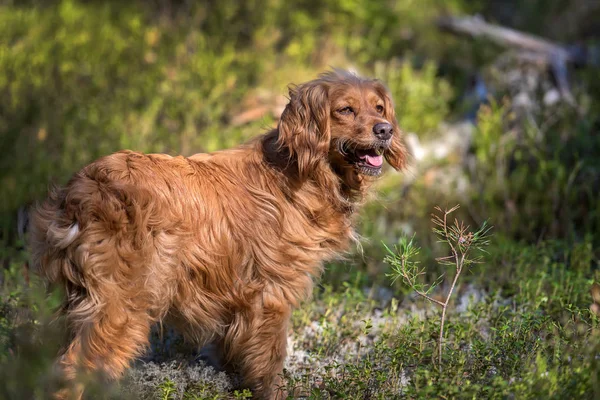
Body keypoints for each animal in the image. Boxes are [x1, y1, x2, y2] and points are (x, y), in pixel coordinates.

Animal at [30, 70, 410, 398]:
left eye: (378, 108)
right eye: (345, 110)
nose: (385, 130)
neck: (302, 172)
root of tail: (86, 189)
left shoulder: (238, 301)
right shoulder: (271, 295)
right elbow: (270, 362)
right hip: (123, 305)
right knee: (74, 370)